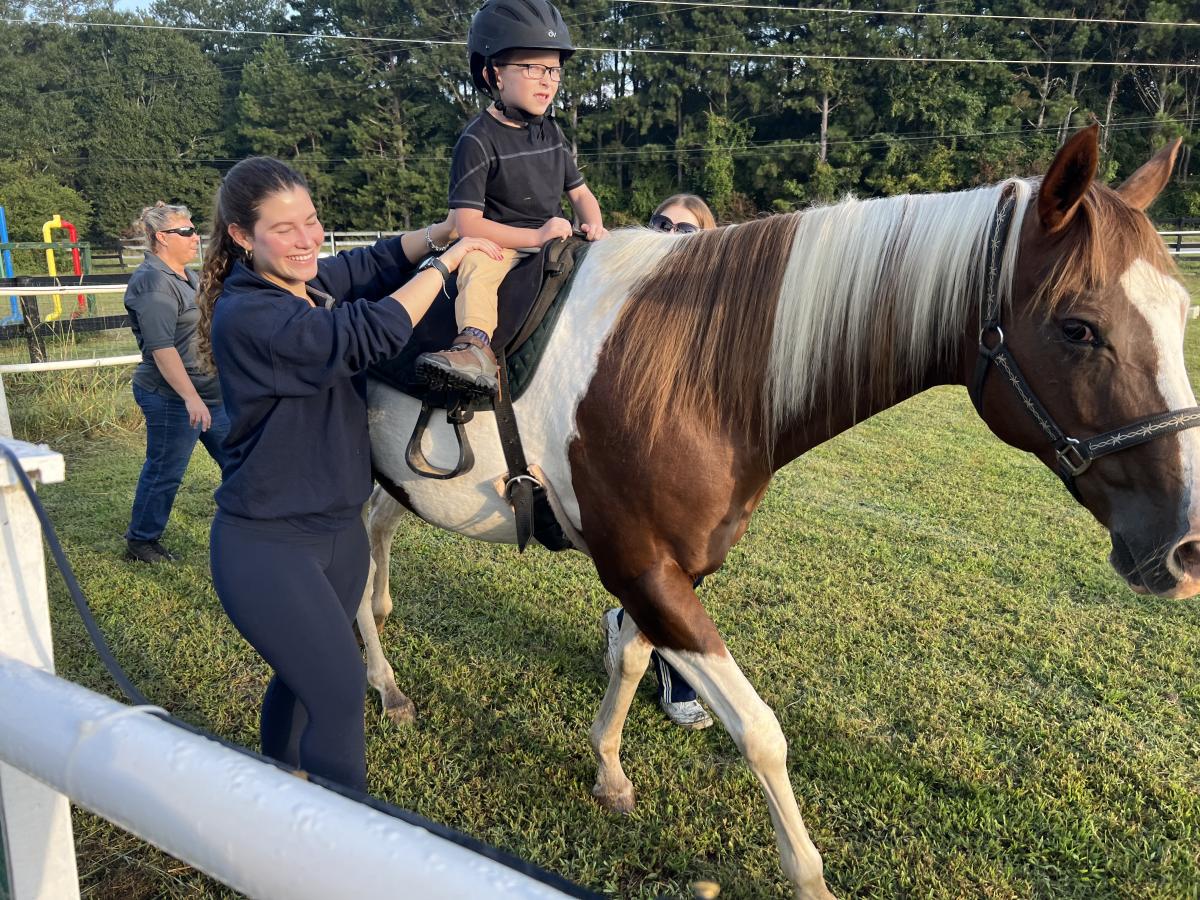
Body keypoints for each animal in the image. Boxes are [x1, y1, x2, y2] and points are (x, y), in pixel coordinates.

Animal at [352, 128, 1190, 900]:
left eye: (1183, 312)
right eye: (1079, 327)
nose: (1186, 547)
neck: (682, 370)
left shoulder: (666, 569)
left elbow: (629, 661)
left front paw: (609, 772)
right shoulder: (645, 570)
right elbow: (761, 733)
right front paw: (809, 876)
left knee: (378, 533)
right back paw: (385, 681)